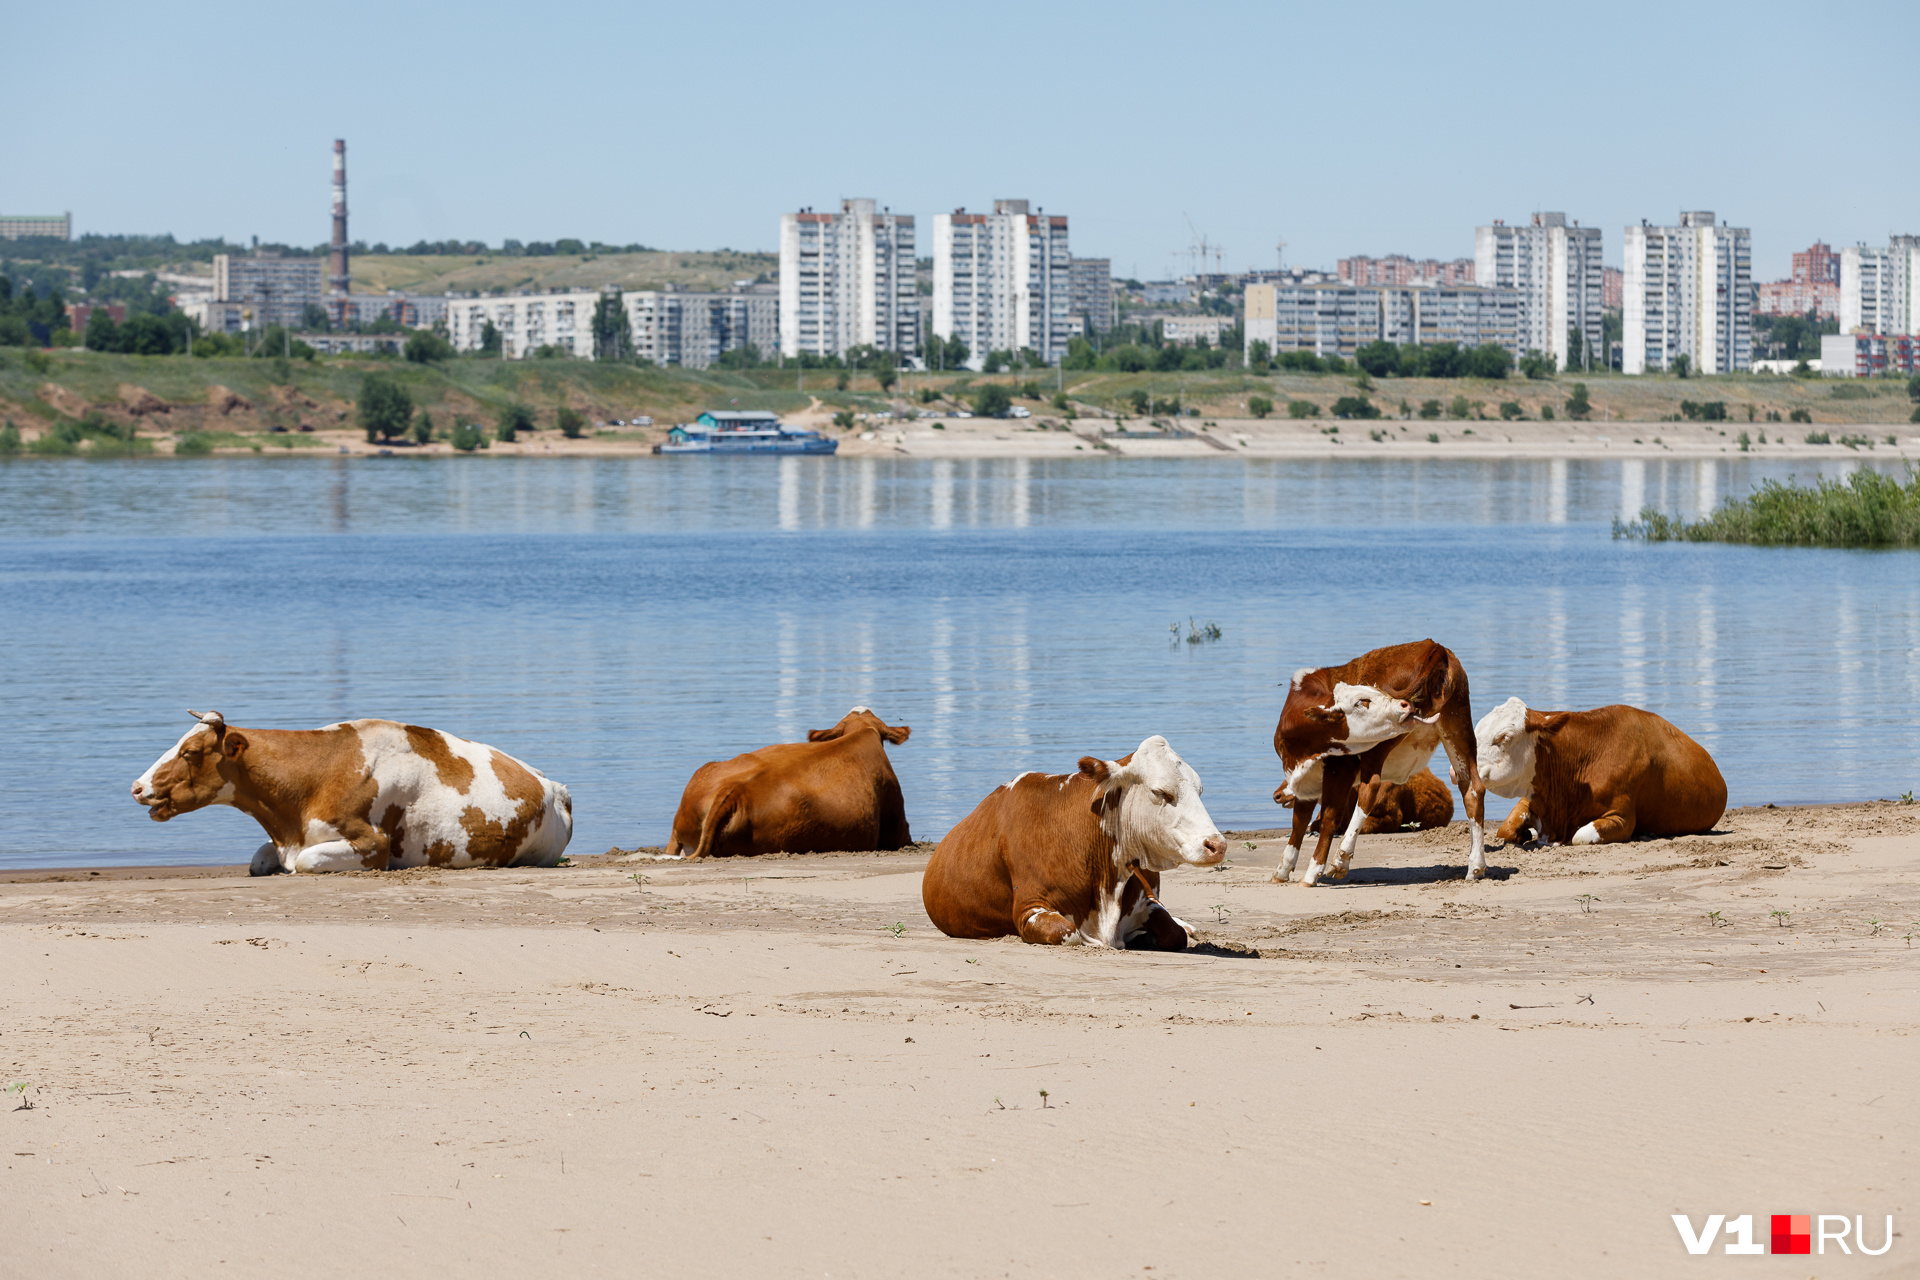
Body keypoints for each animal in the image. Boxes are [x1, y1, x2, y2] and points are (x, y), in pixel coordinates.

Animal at [132, 710, 572, 882]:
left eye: (190, 752)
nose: (137, 786)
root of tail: (552, 785)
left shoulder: (372, 843)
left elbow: (307, 862)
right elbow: (259, 860)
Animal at [917, 729, 1221, 951]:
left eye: (1199, 790)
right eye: (1160, 792)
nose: (1217, 845)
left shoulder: (1146, 901)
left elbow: (1173, 933)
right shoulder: (1029, 908)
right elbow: (1069, 933)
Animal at [1267, 644, 1489, 886]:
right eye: (1362, 701)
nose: (1404, 704)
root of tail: (1432, 647)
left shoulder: (1341, 768)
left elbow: (1328, 817)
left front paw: (1312, 872)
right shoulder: (1304, 779)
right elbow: (1299, 822)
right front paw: (1282, 870)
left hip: (1381, 743)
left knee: (1370, 788)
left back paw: (1341, 858)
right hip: (1458, 730)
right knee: (1473, 789)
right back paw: (1475, 866)